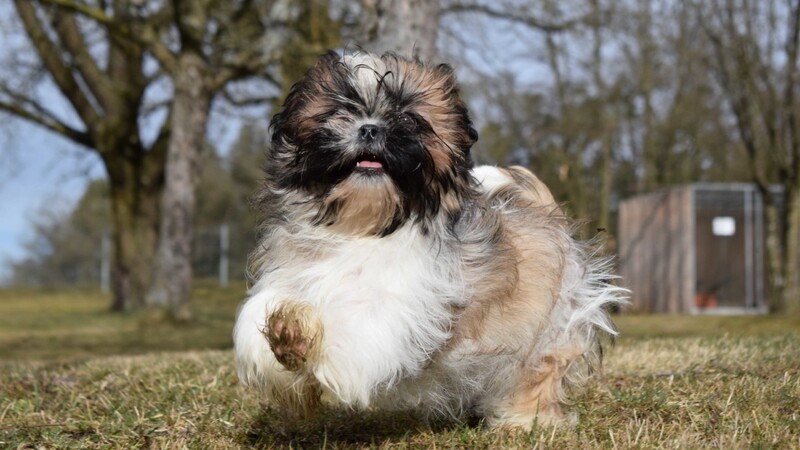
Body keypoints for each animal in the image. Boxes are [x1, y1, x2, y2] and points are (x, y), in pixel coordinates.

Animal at [231, 51, 624, 430]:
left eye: (407, 120)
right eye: (342, 111)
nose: (370, 128)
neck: (361, 226)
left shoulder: (402, 303)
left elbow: (359, 326)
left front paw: (300, 337)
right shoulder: (292, 275)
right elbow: (262, 317)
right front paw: (284, 336)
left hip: (550, 330)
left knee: (538, 373)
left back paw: (525, 421)